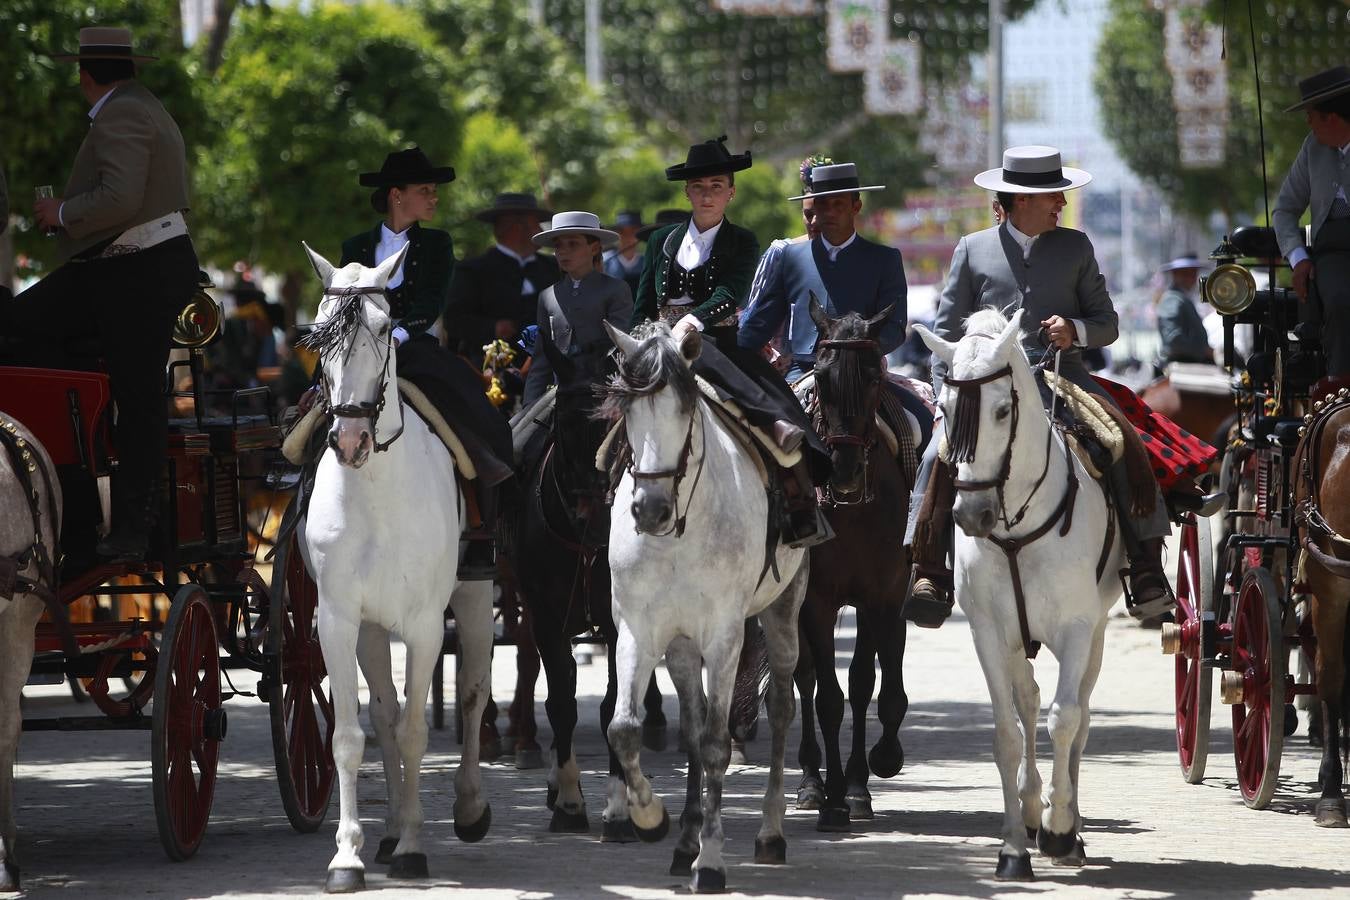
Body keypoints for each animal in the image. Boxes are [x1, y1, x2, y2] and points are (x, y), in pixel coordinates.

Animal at [301, 246, 496, 895]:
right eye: (317, 335)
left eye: (386, 329)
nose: (351, 438)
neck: (376, 492)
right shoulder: (338, 621)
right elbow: (351, 735)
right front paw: (349, 855)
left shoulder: (425, 626)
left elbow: (416, 729)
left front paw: (413, 845)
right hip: (370, 630)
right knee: (384, 717)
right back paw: (384, 833)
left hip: (474, 601)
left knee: (473, 695)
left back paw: (467, 808)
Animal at [599, 322, 804, 895]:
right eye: (628, 412)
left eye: (686, 410)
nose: (650, 509)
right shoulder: (638, 631)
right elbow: (625, 729)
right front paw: (652, 819)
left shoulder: (725, 636)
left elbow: (716, 743)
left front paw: (711, 861)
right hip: (682, 646)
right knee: (689, 725)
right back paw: (683, 842)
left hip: (783, 611)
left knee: (780, 706)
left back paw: (769, 833)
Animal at [918, 311, 1128, 879]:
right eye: (945, 410)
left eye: (1002, 410)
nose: (972, 515)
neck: (1016, 525)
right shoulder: (990, 633)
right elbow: (1008, 731)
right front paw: (1014, 845)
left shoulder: (1077, 630)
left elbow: (1065, 718)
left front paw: (1060, 831)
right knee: (1028, 699)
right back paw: (1034, 807)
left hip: (1096, 636)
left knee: (1079, 715)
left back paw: (1067, 822)